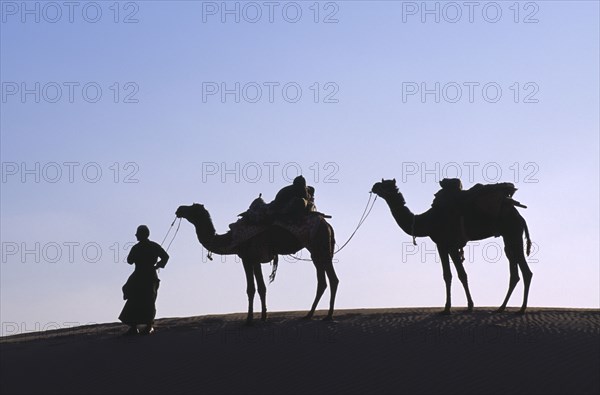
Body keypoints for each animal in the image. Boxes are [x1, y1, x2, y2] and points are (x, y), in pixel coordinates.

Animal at [176, 204, 340, 324]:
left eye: (192, 208)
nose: (179, 209)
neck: (231, 239)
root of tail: (327, 225)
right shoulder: (256, 260)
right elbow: (262, 288)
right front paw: (263, 316)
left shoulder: (247, 258)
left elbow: (251, 289)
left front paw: (249, 320)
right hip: (318, 250)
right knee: (323, 281)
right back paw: (309, 315)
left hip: (319, 246)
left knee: (333, 279)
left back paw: (328, 316)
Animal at [370, 180, 536, 316]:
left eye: (385, 185)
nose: (374, 186)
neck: (426, 220)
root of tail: (520, 217)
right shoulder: (447, 245)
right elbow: (455, 275)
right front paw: (463, 306)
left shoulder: (445, 244)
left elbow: (453, 275)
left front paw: (450, 308)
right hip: (508, 238)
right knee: (514, 272)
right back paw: (501, 308)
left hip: (512, 233)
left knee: (526, 271)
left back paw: (521, 309)